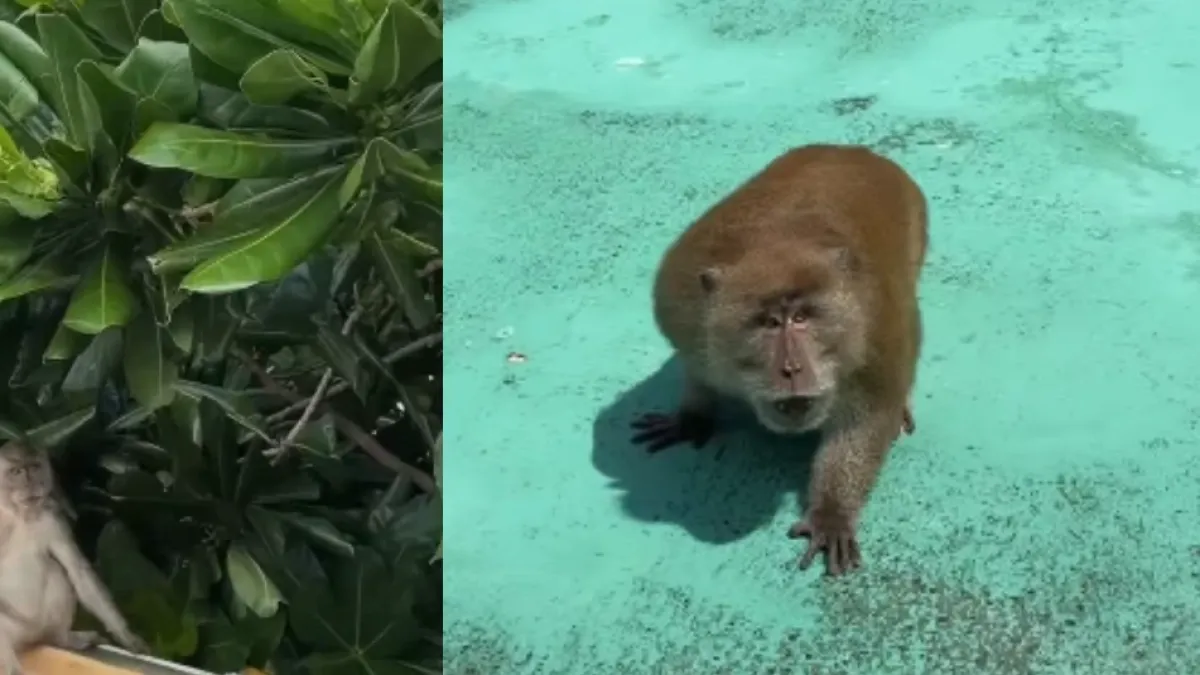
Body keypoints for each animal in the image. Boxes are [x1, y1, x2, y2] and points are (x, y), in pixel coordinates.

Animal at [0, 441, 148, 674]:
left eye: (35, 467)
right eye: (17, 472)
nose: (32, 484)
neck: (20, 516)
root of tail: (30, 636)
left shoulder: (52, 517)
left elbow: (76, 569)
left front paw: (127, 635)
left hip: (39, 625)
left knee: (57, 571)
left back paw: (62, 637)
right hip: (14, 626)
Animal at [631, 144, 928, 577]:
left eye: (801, 318)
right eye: (769, 323)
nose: (792, 369)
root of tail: (854, 150)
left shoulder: (875, 331)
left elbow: (866, 420)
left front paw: (831, 513)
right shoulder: (683, 313)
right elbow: (697, 368)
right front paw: (692, 416)